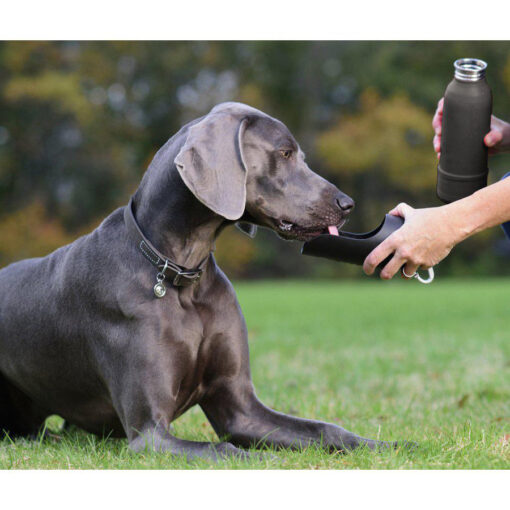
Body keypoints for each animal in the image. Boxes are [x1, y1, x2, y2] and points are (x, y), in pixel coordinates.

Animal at [0, 101, 394, 460]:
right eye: (283, 153)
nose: (347, 204)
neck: (181, 274)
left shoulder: (240, 408)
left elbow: (327, 430)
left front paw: (387, 445)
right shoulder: (149, 433)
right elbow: (228, 450)